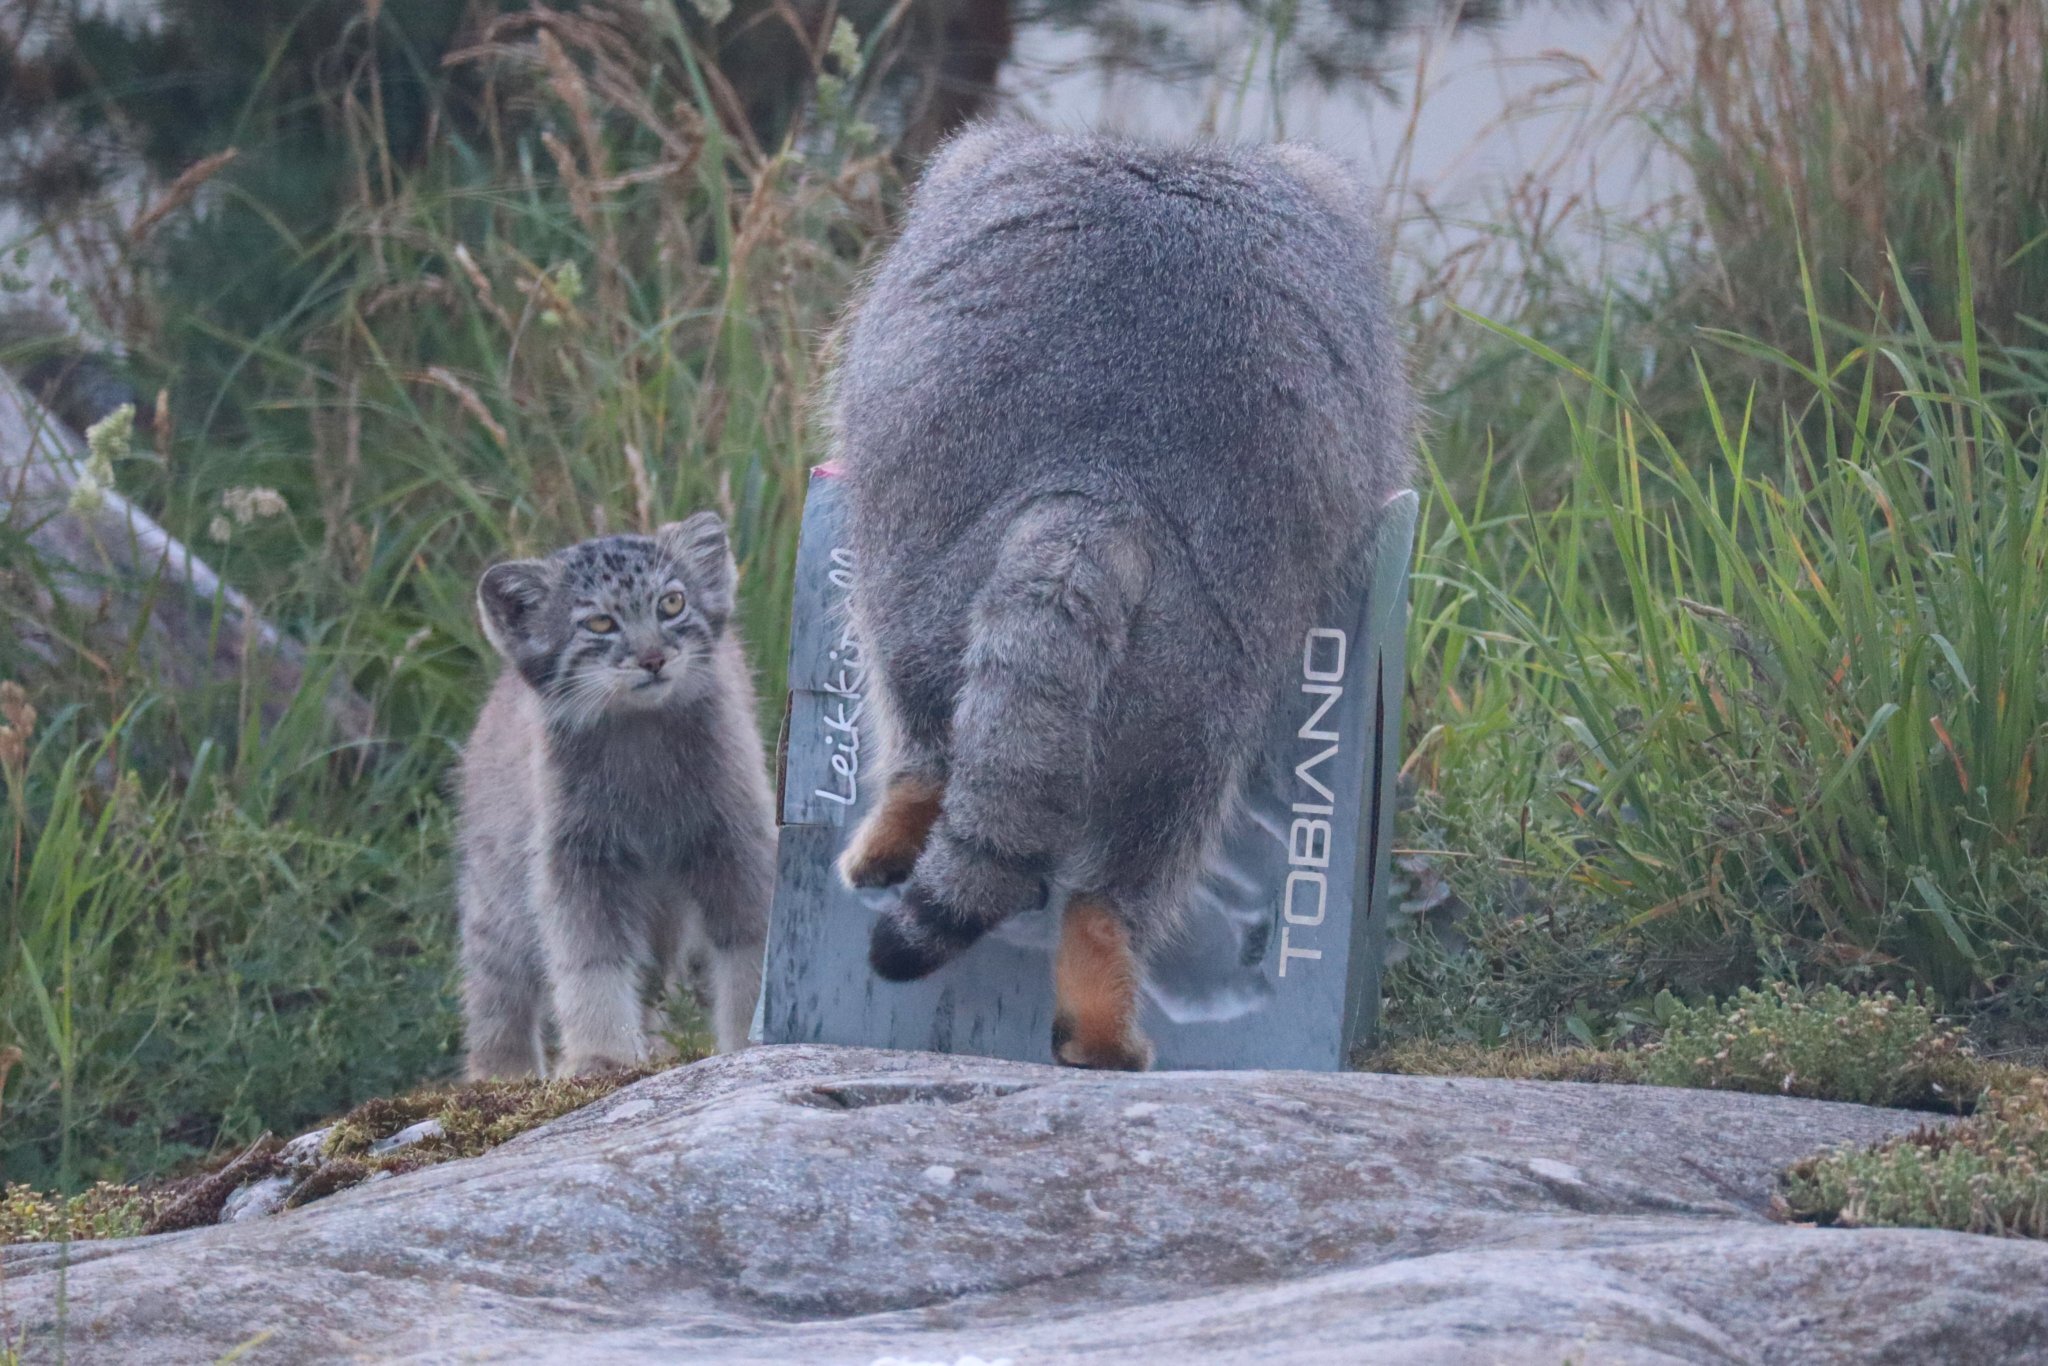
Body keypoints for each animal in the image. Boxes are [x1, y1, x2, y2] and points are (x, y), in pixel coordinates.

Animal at [460, 511, 770, 1081]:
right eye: (600, 624)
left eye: (672, 603)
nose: (653, 658)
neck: (639, 740)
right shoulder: (578, 859)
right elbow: (589, 963)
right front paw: (600, 1055)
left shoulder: (736, 840)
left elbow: (751, 948)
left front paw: (750, 1042)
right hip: (499, 897)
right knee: (496, 986)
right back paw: (500, 1074)